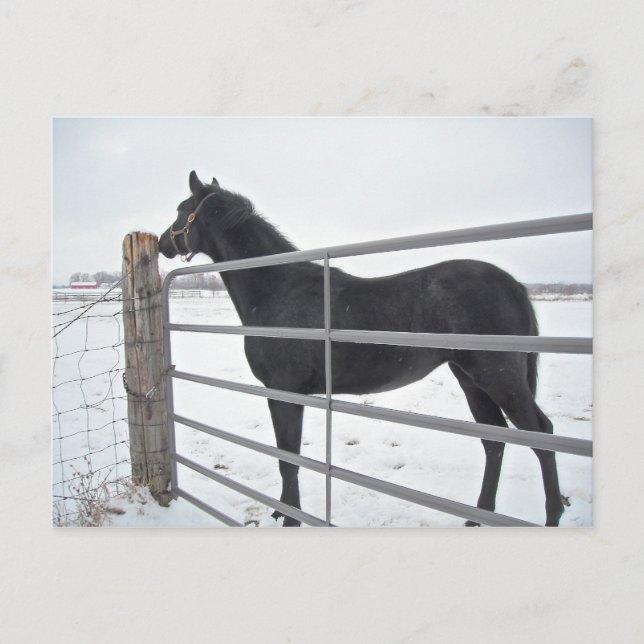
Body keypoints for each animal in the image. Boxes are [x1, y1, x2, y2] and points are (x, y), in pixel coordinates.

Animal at [159, 171, 565, 527]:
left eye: (181, 209)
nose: (163, 242)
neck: (277, 288)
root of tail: (514, 285)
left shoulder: (285, 392)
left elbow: (288, 459)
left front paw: (290, 517)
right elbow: (286, 457)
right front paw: (282, 511)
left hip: (498, 376)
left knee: (541, 435)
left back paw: (551, 516)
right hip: (470, 378)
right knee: (495, 442)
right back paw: (476, 517)